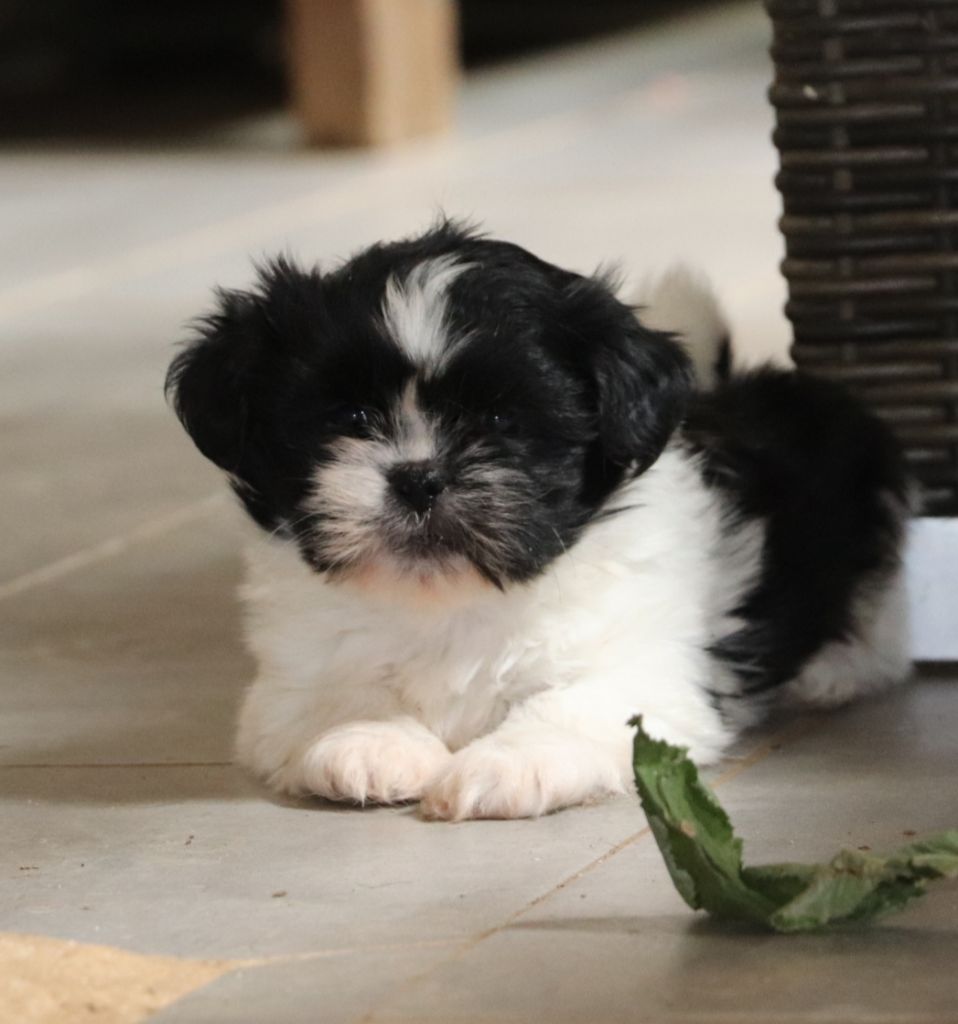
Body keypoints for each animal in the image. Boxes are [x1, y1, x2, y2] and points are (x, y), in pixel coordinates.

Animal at [166, 220, 911, 820]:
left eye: (501, 420)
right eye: (350, 418)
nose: (418, 476)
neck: (449, 602)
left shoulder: (639, 668)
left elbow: (572, 707)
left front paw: (506, 764)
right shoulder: (291, 677)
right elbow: (340, 693)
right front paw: (366, 742)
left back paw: (837, 670)